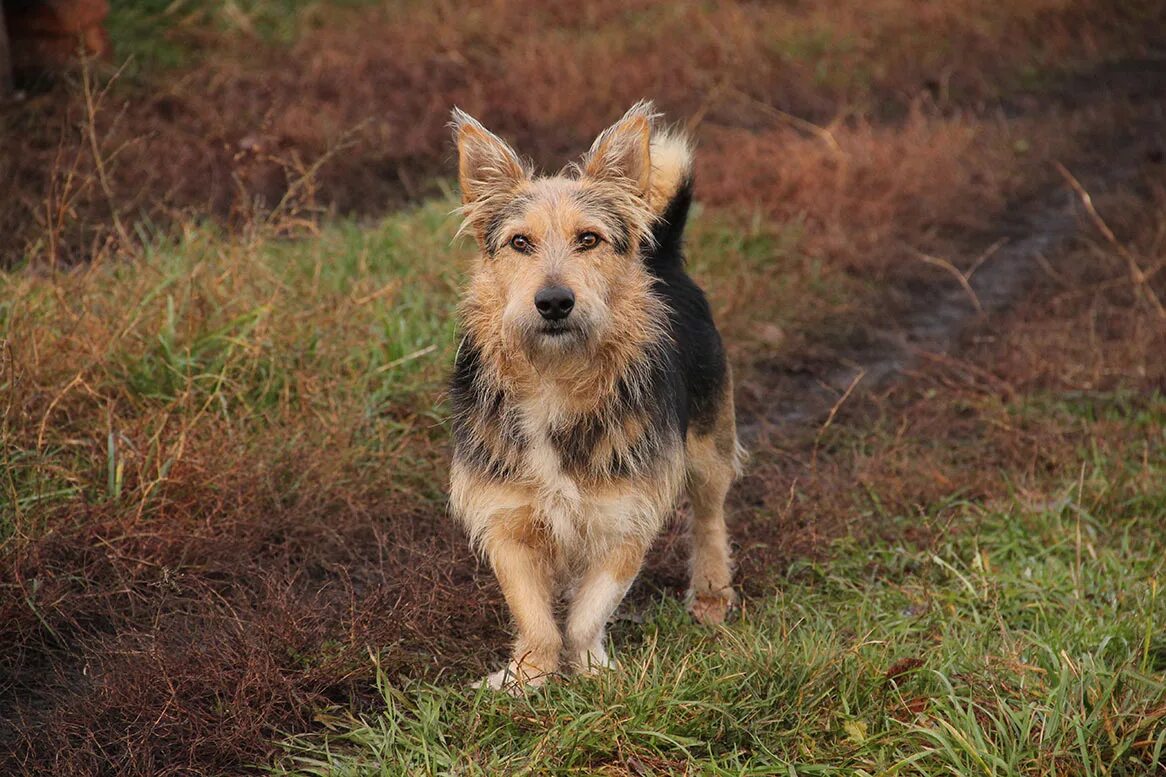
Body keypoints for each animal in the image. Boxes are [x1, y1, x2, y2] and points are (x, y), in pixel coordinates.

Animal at [445, 99, 746, 686]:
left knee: (709, 516)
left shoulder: (627, 515)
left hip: (708, 442)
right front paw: (526, 677)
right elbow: (533, 612)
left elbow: (590, 611)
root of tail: (663, 256)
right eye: (520, 242)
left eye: (588, 239)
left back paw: (711, 595)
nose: (554, 302)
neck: (554, 380)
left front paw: (592, 673)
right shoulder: (506, 518)